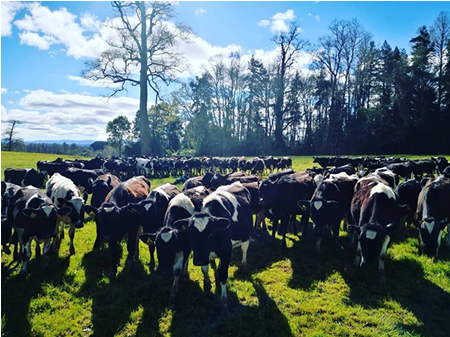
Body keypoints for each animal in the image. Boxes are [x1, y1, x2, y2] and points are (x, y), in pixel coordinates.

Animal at [172, 182, 253, 314]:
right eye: (190, 234)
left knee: (244, 249)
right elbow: (205, 269)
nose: (199, 260)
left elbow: (224, 275)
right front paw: (207, 283)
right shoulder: (203, 254)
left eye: (210, 233)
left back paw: (244, 266)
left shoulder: (226, 251)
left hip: (246, 235)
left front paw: (224, 302)